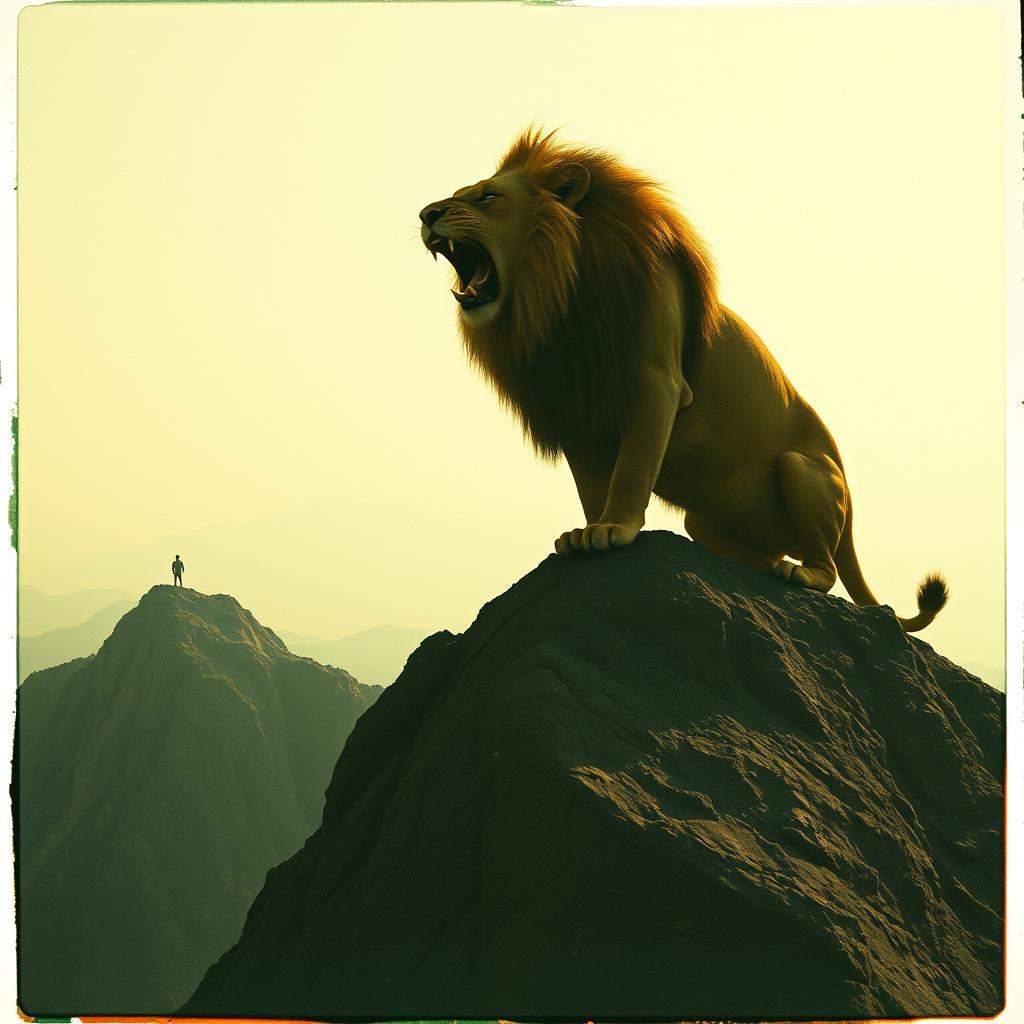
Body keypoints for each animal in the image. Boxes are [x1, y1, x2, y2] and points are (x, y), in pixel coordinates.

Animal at [418, 127, 948, 633]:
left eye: (487, 197)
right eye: (460, 194)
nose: (426, 213)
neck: (561, 293)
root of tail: (851, 507)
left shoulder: (658, 379)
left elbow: (631, 468)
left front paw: (614, 529)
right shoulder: (576, 409)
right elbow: (591, 485)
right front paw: (585, 532)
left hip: (802, 467)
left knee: (828, 569)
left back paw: (802, 574)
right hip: (704, 521)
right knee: (759, 553)